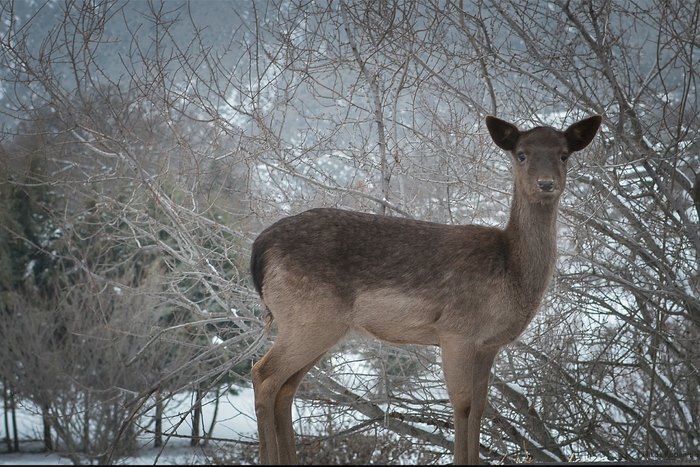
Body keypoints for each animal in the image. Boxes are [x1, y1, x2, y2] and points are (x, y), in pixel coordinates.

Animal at [247, 114, 600, 464]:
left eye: (564, 154)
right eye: (521, 154)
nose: (546, 183)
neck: (511, 272)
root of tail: (259, 250)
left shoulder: (488, 345)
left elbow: (480, 408)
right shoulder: (456, 331)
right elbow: (463, 404)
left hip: (321, 328)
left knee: (286, 387)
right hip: (308, 319)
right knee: (263, 374)